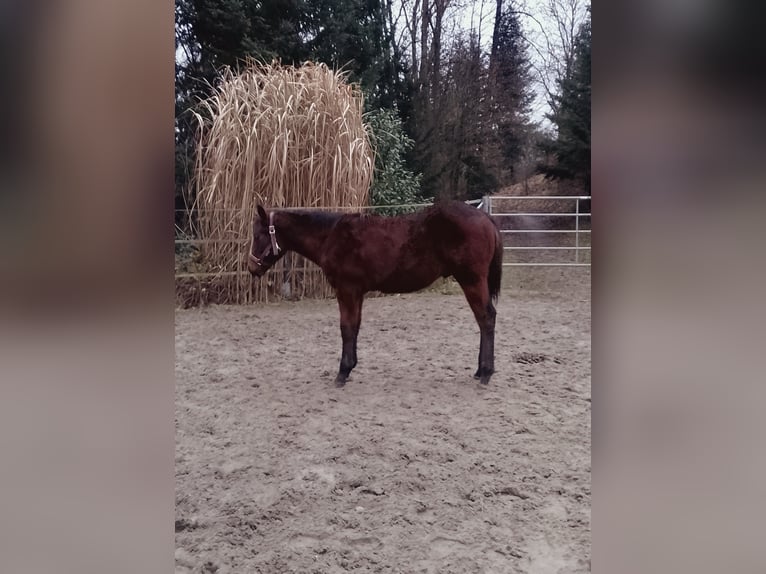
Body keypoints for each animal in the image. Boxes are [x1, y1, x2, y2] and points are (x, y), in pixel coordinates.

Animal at [247, 201, 503, 386]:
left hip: (472, 281)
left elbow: (346, 327)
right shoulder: (357, 292)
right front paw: (350, 367)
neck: (331, 236)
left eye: (258, 235)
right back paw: (480, 371)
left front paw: (342, 372)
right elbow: (355, 327)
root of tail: (486, 218)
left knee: (486, 318)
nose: (251, 268)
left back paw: (485, 373)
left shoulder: (347, 289)